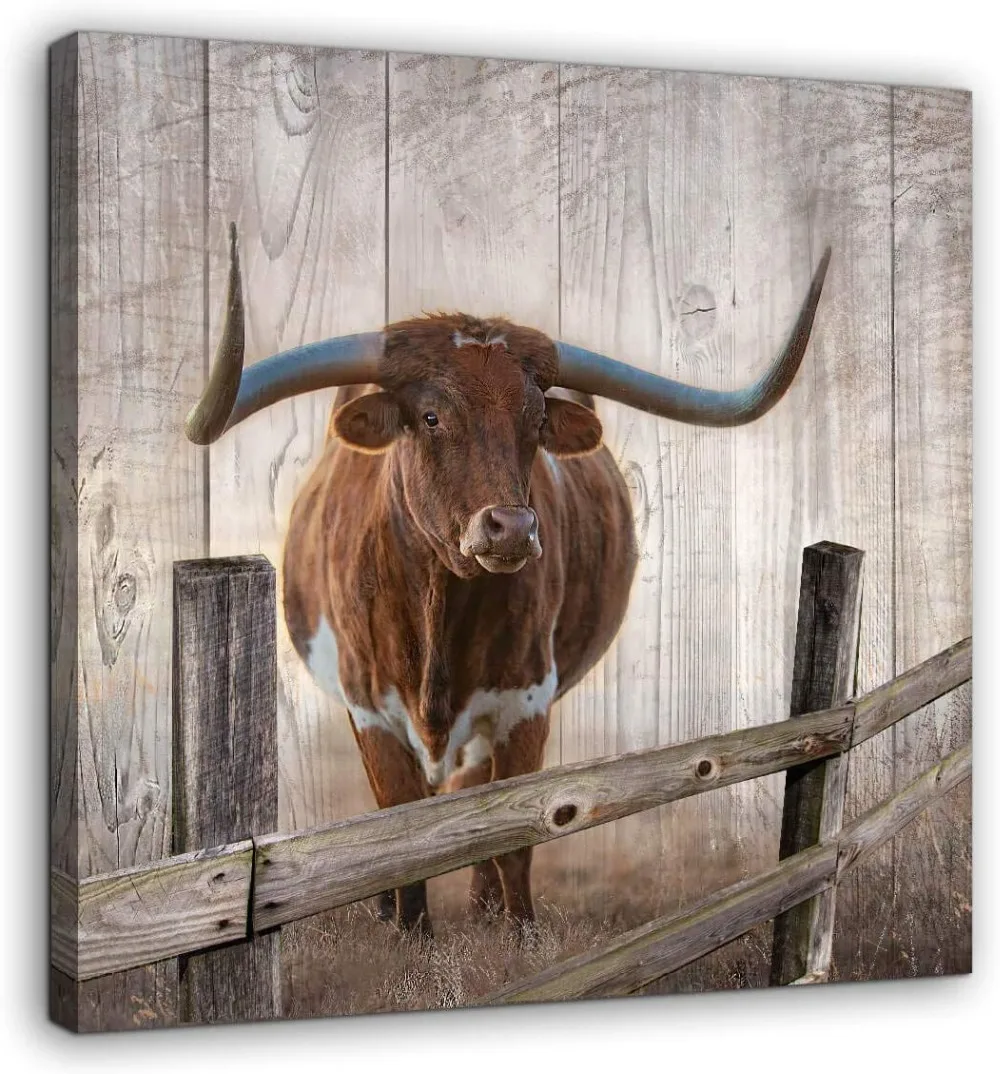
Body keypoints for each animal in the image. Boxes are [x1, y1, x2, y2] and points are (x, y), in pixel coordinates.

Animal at [185, 223, 831, 936]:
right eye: (431, 417)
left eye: (534, 421)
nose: (512, 528)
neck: (434, 617)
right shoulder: (368, 711)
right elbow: (395, 841)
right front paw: (410, 935)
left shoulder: (525, 704)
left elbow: (514, 836)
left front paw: (516, 933)